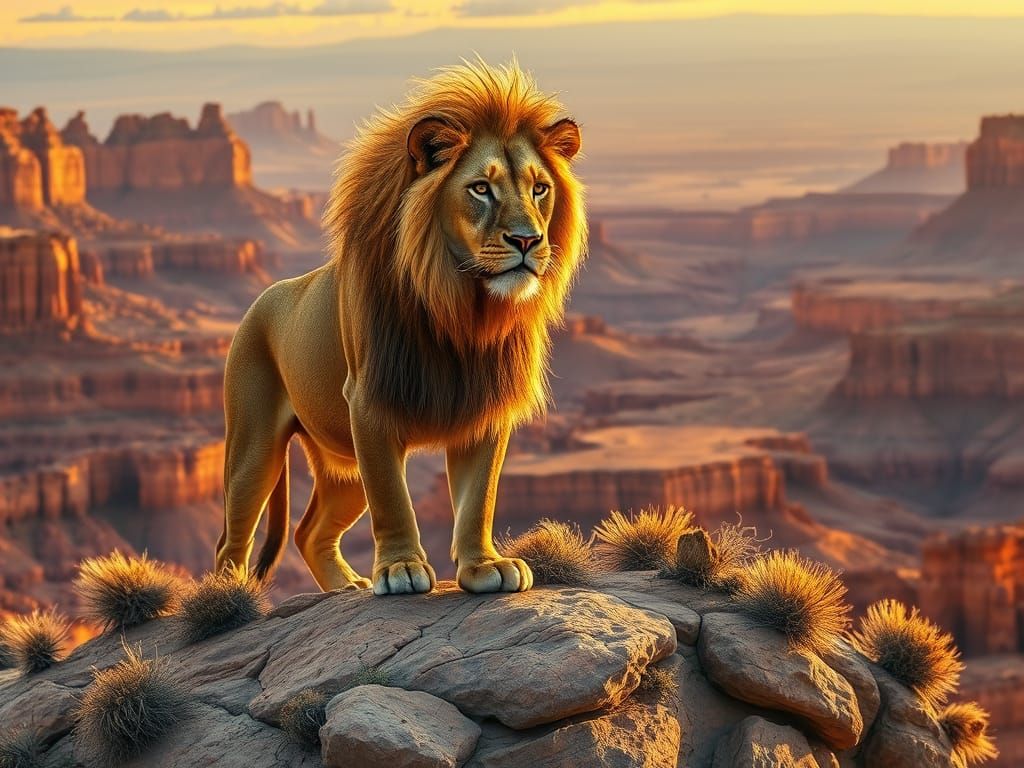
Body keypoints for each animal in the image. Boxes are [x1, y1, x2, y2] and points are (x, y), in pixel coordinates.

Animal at [214, 59, 586, 596]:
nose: (527, 240)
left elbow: (479, 499)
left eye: (540, 188)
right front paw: (401, 569)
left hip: (342, 463)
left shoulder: (485, 407)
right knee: (233, 540)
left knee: (310, 532)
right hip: (254, 445)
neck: (463, 311)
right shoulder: (369, 403)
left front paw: (485, 567)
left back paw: (347, 587)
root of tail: (262, 299)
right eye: (481, 188)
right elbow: (392, 497)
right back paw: (229, 596)